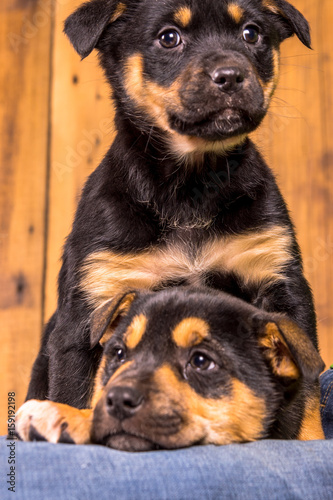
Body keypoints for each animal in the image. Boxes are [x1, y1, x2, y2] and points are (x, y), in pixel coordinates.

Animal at [25, 0, 316, 410]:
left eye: (251, 33)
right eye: (169, 38)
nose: (231, 76)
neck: (189, 188)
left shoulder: (281, 287)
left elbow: (306, 405)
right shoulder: (85, 314)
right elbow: (72, 400)